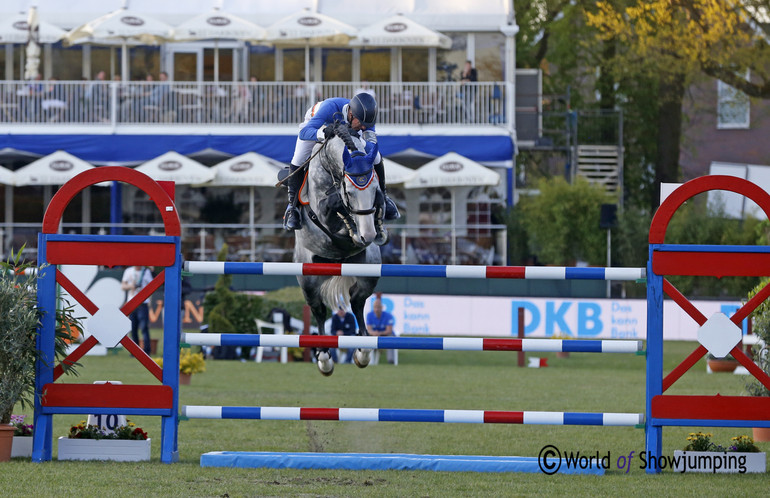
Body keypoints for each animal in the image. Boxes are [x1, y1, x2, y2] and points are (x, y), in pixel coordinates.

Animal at [294, 130, 388, 376]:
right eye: (350, 191)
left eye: (374, 189)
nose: (368, 236)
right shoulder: (322, 214)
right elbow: (333, 207)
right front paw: (346, 218)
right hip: (308, 278)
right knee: (318, 309)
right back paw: (324, 358)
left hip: (369, 270)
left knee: (357, 300)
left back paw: (363, 350)